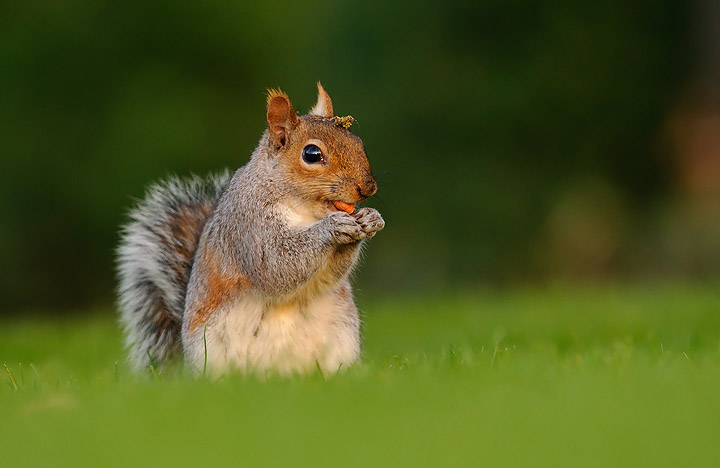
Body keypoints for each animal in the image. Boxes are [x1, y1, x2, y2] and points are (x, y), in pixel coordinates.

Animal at [116, 83, 384, 376]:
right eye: (312, 154)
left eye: (358, 142)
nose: (368, 187)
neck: (303, 210)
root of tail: (279, 374)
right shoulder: (249, 227)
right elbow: (276, 264)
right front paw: (332, 228)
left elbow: (328, 275)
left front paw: (370, 218)